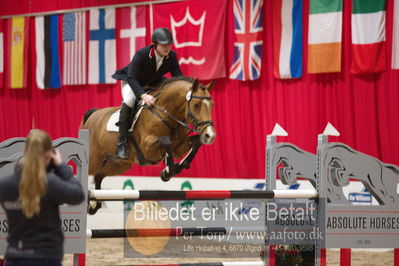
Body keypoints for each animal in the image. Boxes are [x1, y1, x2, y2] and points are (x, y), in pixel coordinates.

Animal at [82, 77, 217, 214]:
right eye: (196, 105)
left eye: (212, 105)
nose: (210, 135)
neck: (166, 113)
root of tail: (93, 114)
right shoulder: (147, 148)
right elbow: (166, 141)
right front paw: (168, 171)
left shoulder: (179, 147)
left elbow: (196, 142)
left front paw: (176, 167)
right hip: (94, 159)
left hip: (120, 165)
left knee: (99, 175)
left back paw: (94, 205)